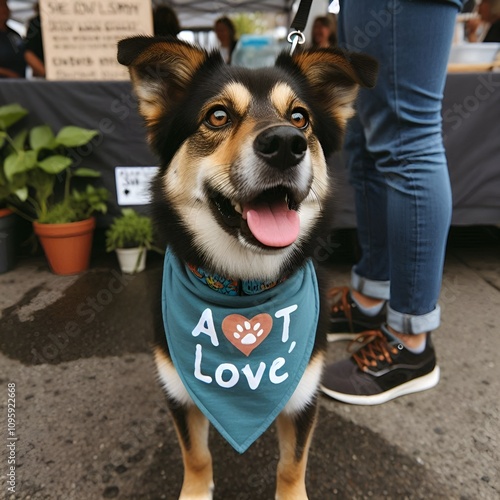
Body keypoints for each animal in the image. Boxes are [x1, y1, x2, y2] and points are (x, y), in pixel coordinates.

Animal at [117, 38, 376, 500]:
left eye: (300, 117)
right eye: (217, 116)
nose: (287, 143)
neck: (242, 285)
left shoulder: (303, 396)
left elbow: (291, 465)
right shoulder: (178, 392)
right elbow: (196, 455)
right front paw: (195, 492)